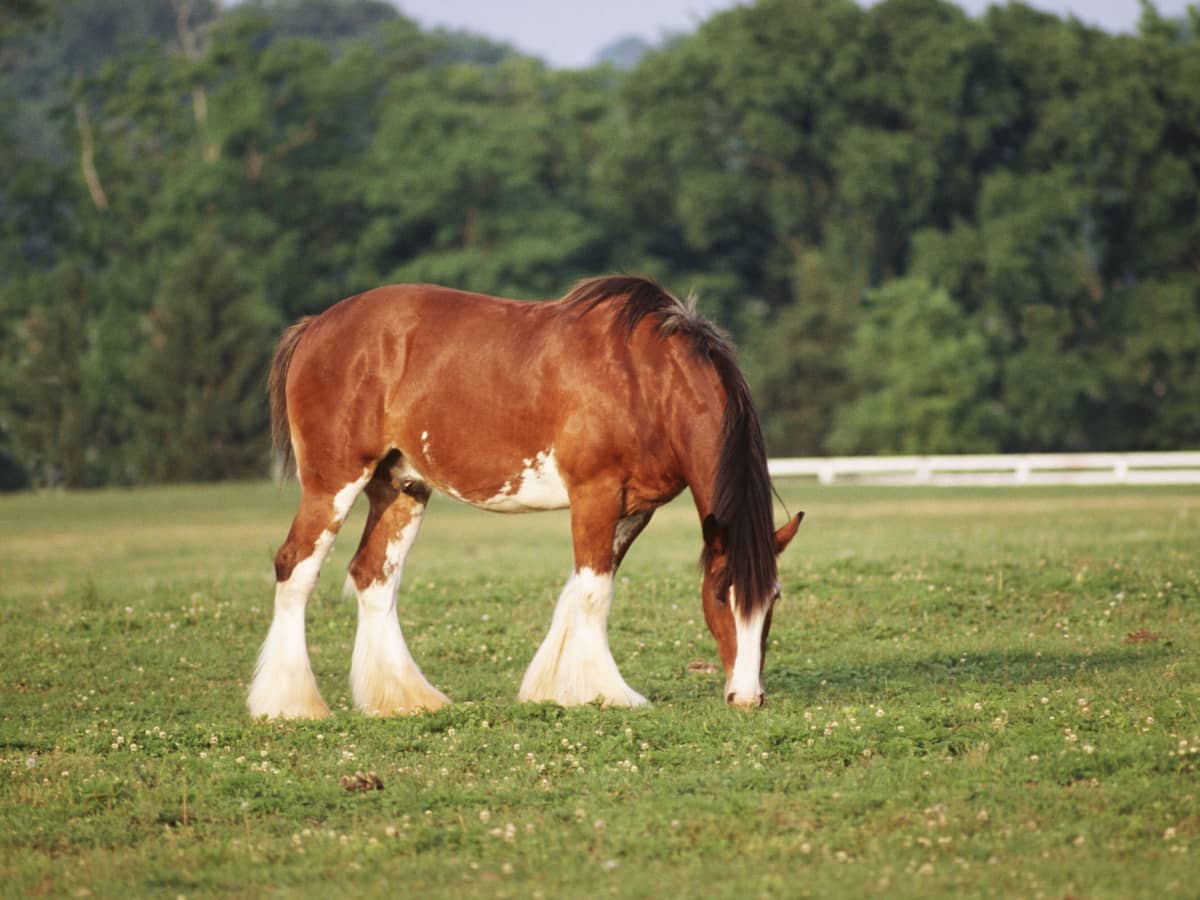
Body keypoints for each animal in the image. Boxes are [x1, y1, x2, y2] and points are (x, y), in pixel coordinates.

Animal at [247, 274, 801, 720]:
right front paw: (607, 693)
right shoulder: (595, 494)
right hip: (333, 482)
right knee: (295, 568)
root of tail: (316, 326)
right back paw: (289, 704)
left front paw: (555, 687)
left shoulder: (633, 508)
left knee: (373, 576)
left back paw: (403, 699)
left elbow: (580, 588)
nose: (747, 697)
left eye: (773, 598)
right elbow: (595, 592)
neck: (645, 378)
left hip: (401, 487)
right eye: (719, 594)